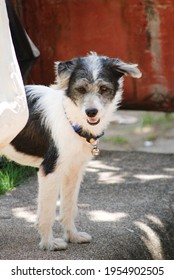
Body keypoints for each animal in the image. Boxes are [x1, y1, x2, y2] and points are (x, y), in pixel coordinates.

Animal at [0, 53, 141, 250]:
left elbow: (69, 207)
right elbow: (48, 212)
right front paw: (48, 243)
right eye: (80, 89)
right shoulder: (50, 170)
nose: (91, 112)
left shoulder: (73, 171)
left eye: (104, 88)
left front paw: (73, 236)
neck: (71, 117)